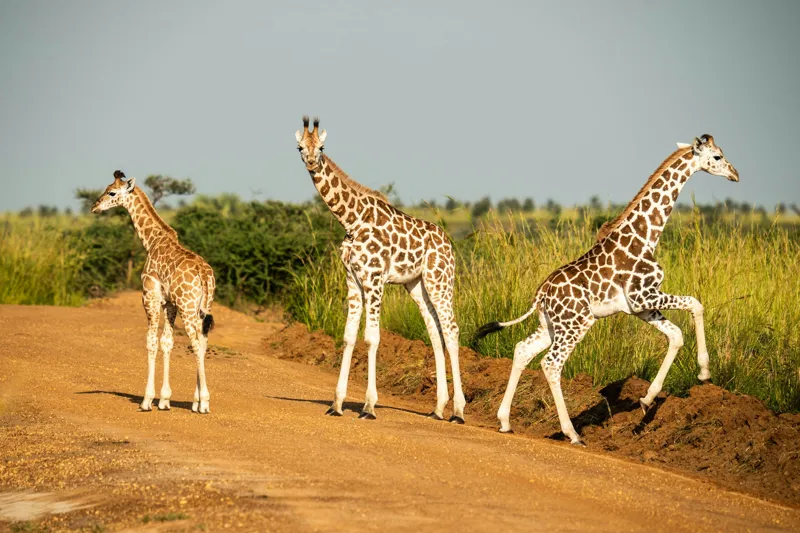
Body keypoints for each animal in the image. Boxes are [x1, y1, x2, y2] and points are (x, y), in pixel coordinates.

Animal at [92, 171, 216, 414]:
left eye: (112, 192)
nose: (94, 206)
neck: (152, 241)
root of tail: (204, 275)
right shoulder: (169, 303)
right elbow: (167, 342)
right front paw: (165, 400)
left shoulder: (150, 296)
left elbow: (151, 341)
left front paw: (147, 400)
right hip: (201, 308)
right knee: (203, 342)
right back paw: (196, 401)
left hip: (188, 308)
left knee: (196, 343)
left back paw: (205, 403)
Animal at [295, 116, 466, 423]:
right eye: (299, 147)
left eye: (322, 147)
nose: (312, 163)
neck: (351, 221)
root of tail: (448, 243)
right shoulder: (352, 280)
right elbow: (349, 336)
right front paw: (336, 404)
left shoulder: (374, 279)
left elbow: (372, 338)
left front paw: (368, 406)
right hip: (417, 286)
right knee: (435, 333)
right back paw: (438, 408)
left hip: (440, 281)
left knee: (452, 330)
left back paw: (458, 411)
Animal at [475, 135, 739, 444]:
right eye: (718, 156)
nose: (735, 174)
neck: (646, 237)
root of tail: (541, 295)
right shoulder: (643, 296)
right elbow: (696, 303)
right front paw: (704, 372)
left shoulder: (639, 307)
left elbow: (675, 335)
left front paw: (647, 399)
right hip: (577, 323)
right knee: (551, 364)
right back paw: (572, 433)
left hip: (550, 326)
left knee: (522, 350)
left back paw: (505, 421)